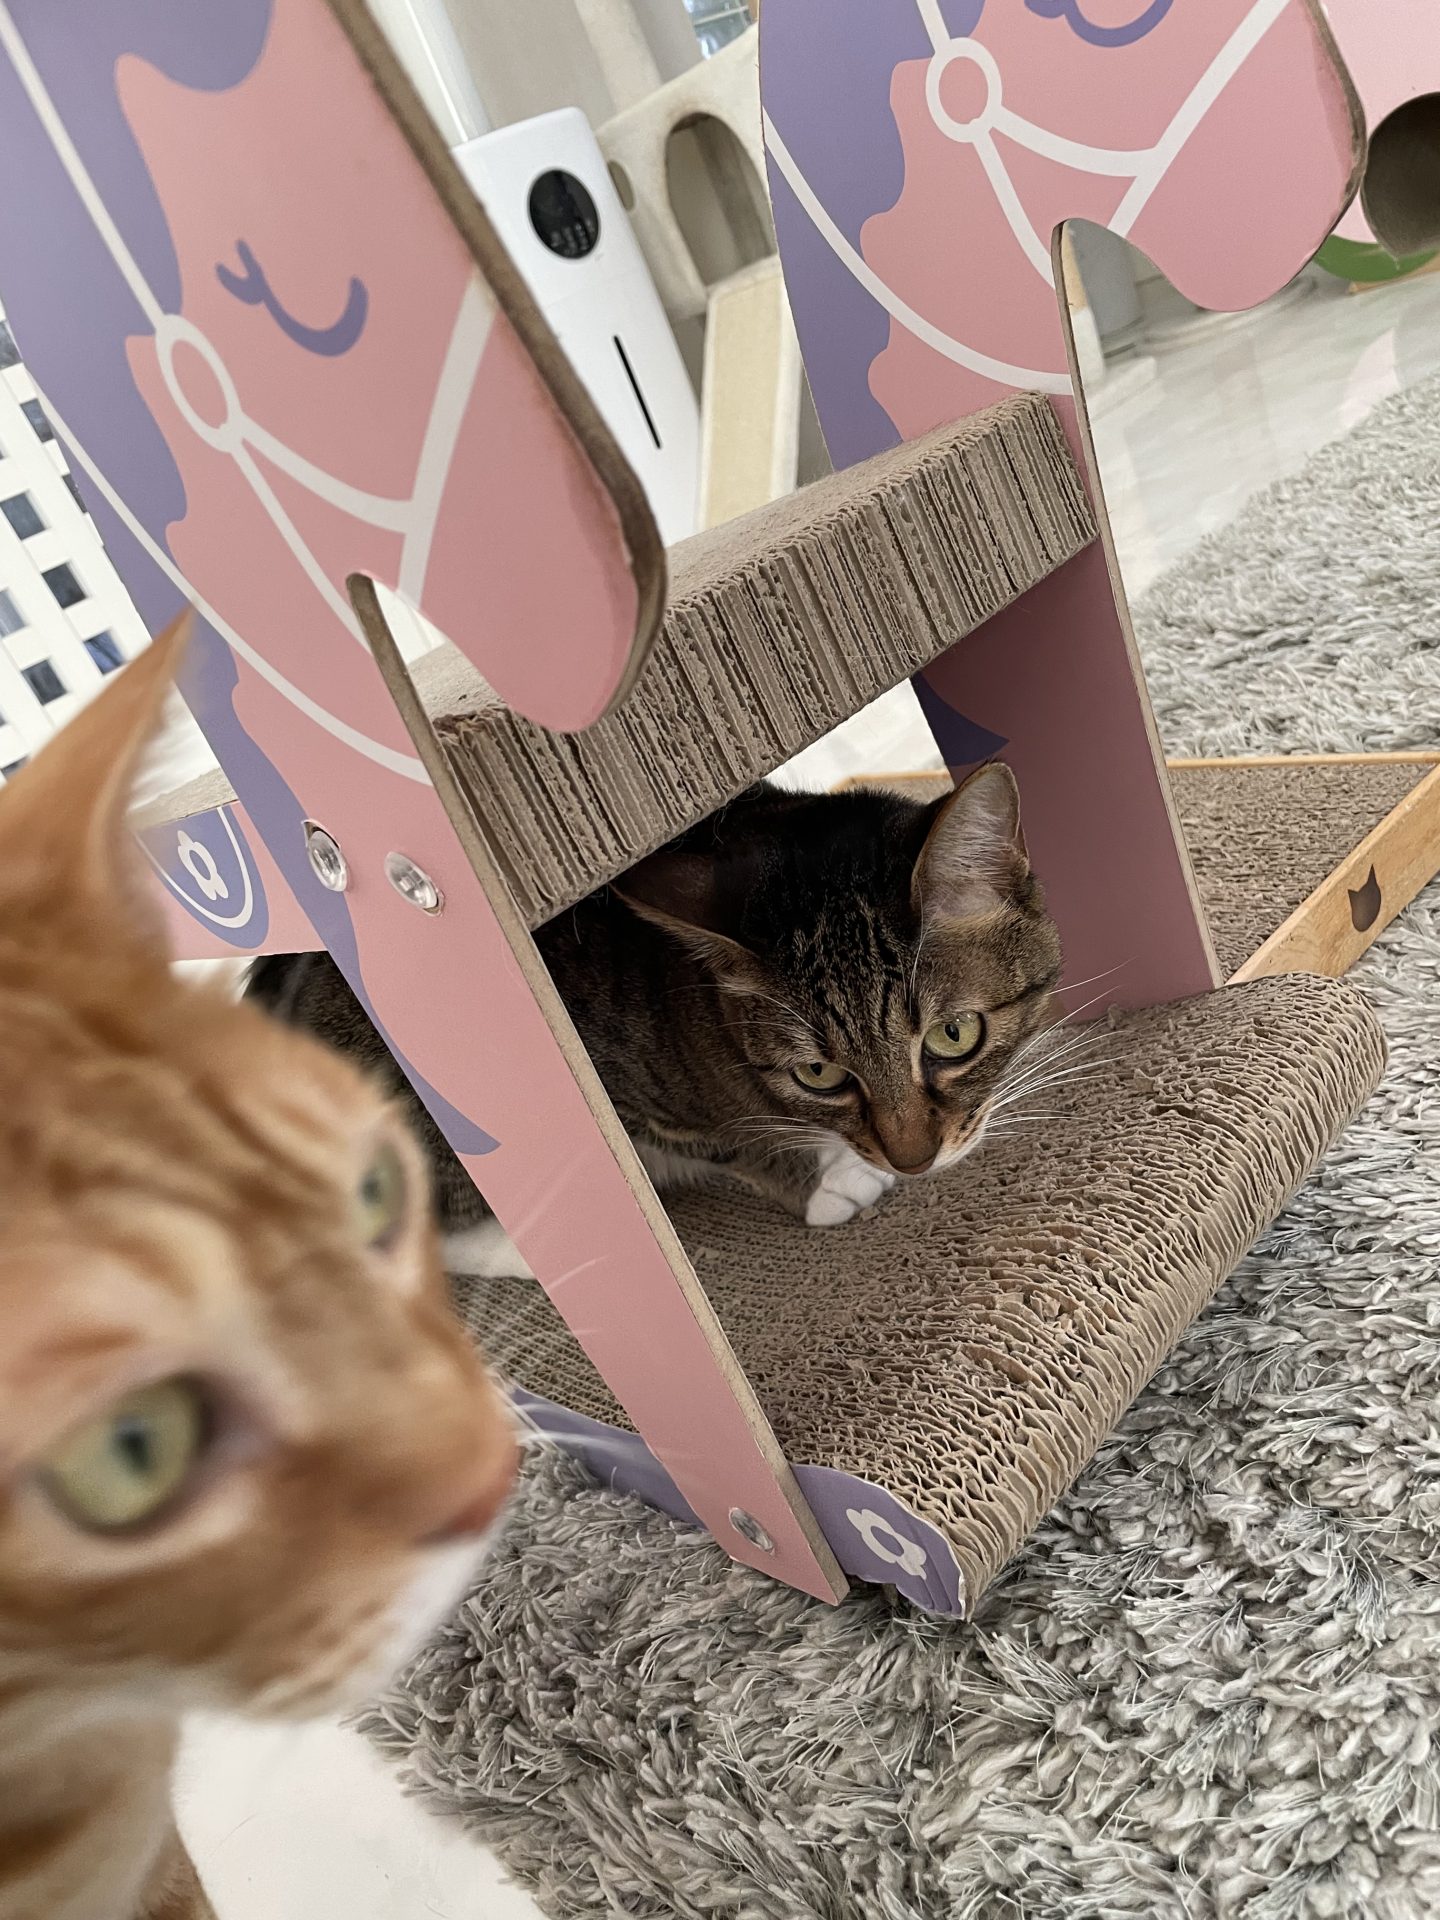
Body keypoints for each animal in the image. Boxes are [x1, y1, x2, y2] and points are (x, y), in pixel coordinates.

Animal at [248, 764, 1062, 1281]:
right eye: (820, 1073)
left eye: (954, 1036)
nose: (912, 1161)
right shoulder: (616, 1084)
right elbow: (728, 1141)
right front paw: (829, 1177)